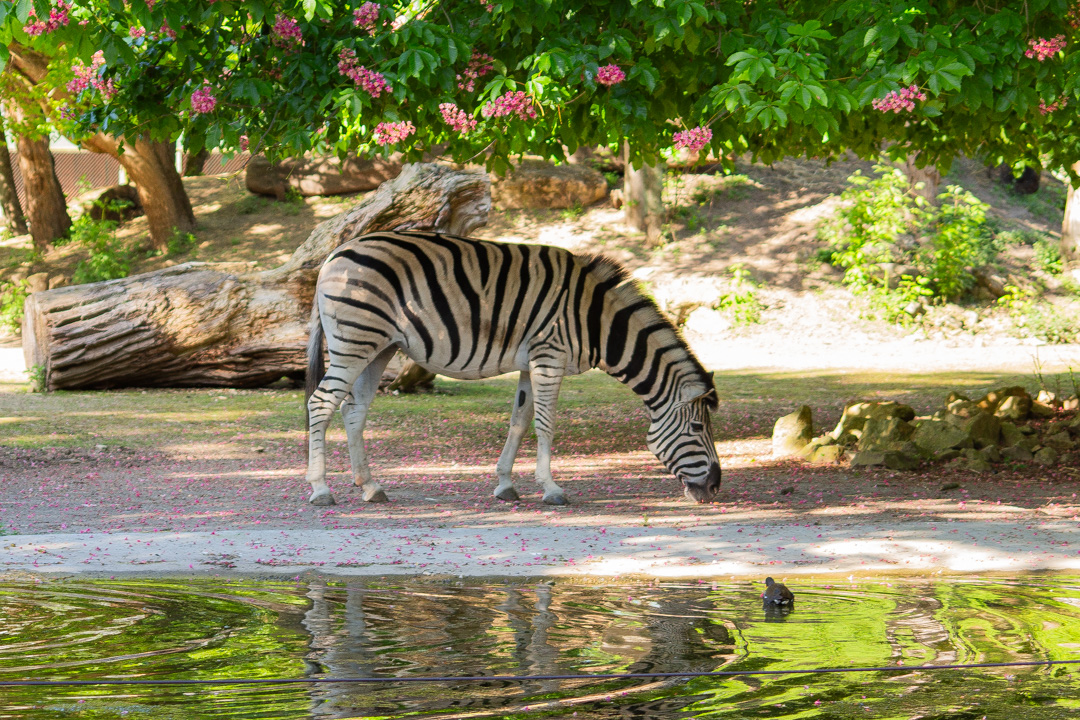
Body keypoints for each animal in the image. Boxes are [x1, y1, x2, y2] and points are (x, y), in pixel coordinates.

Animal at [305, 230, 721, 507]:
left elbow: (519, 422)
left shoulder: (530, 362)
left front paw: (505, 485)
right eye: (697, 428)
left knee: (353, 410)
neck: (597, 321)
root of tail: (335, 253)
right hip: (354, 342)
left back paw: (370, 486)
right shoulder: (550, 356)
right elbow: (545, 424)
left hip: (379, 347)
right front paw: (552, 489)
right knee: (320, 404)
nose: (716, 487)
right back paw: (321, 489)